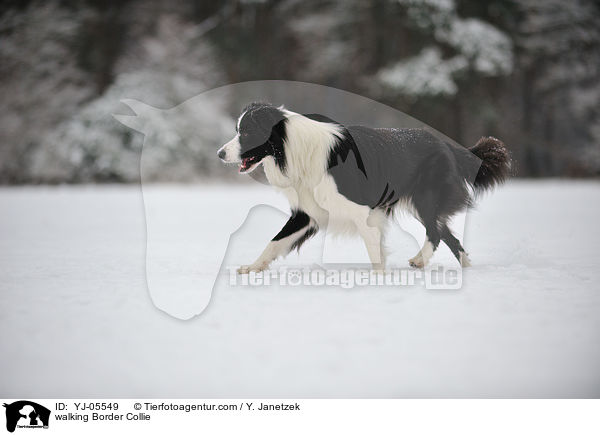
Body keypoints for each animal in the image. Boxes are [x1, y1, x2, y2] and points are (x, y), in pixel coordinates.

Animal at [218, 102, 508, 272]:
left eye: (246, 132)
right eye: (237, 130)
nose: (220, 154)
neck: (291, 146)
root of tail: (447, 145)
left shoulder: (363, 211)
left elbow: (374, 251)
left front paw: (378, 279)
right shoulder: (308, 212)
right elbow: (275, 241)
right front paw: (253, 267)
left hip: (424, 198)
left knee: (436, 233)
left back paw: (422, 260)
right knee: (446, 235)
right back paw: (461, 265)